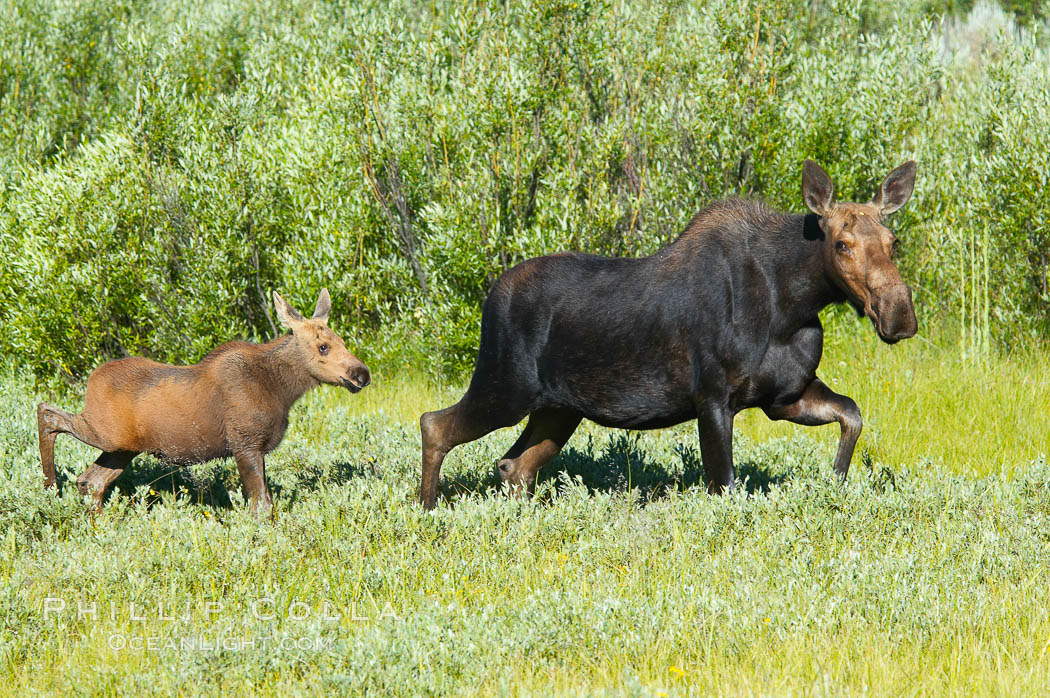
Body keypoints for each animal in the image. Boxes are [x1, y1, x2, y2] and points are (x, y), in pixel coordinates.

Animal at [38, 287, 373, 516]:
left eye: (343, 341)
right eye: (323, 346)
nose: (362, 374)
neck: (282, 390)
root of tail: (91, 380)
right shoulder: (245, 443)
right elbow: (261, 506)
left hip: (122, 448)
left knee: (91, 480)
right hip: (105, 431)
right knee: (48, 412)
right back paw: (50, 486)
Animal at [417, 159, 919, 505]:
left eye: (893, 242)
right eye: (842, 245)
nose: (899, 315)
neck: (795, 303)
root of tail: (491, 295)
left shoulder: (785, 396)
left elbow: (852, 415)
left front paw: (836, 481)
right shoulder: (713, 398)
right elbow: (724, 485)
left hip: (557, 408)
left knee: (512, 465)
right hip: (504, 386)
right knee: (434, 425)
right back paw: (427, 510)